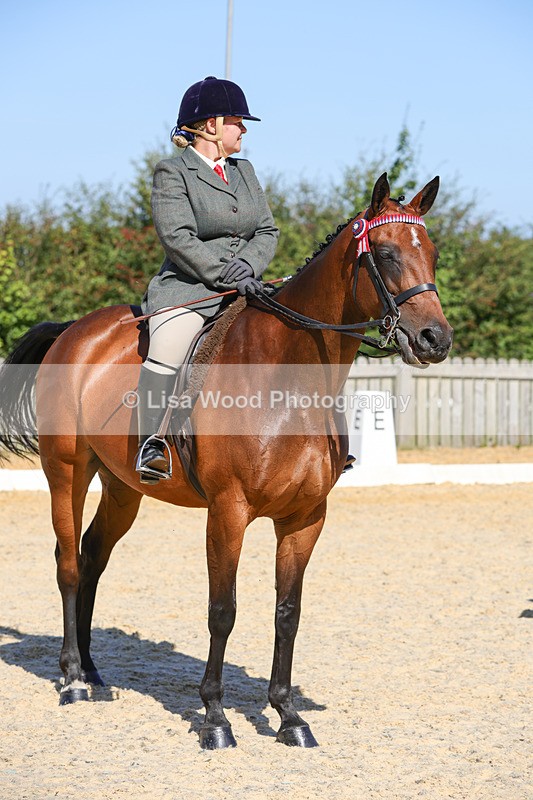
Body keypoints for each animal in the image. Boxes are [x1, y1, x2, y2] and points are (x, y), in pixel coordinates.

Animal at [0, 172, 453, 749]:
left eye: (432, 254)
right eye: (389, 255)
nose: (435, 339)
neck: (289, 380)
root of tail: (74, 331)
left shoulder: (306, 517)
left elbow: (288, 613)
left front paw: (288, 716)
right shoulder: (228, 511)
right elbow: (223, 611)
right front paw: (215, 717)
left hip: (124, 487)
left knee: (93, 555)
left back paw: (94, 671)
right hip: (66, 472)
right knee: (69, 565)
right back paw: (73, 678)